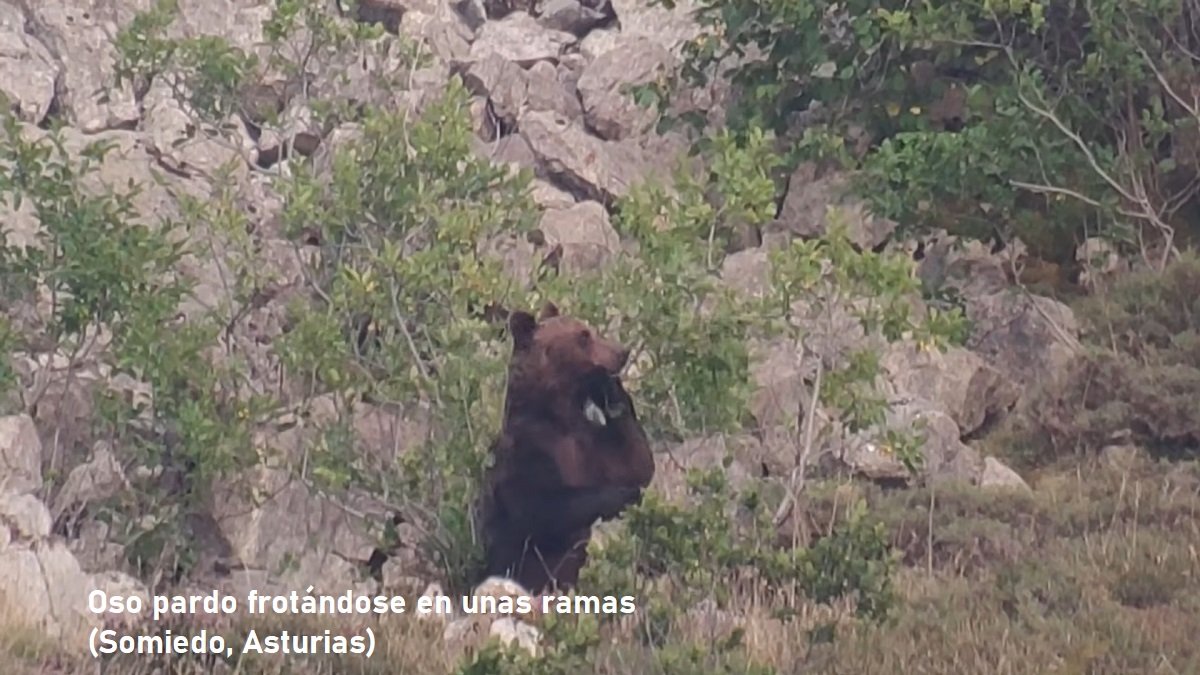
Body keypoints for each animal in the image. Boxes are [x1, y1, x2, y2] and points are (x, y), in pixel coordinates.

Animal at [473, 301, 655, 594]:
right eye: (584, 336)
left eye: (589, 329)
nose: (622, 351)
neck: (561, 414)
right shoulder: (529, 451)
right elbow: (543, 507)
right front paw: (624, 495)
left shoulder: (594, 442)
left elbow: (636, 462)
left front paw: (609, 387)